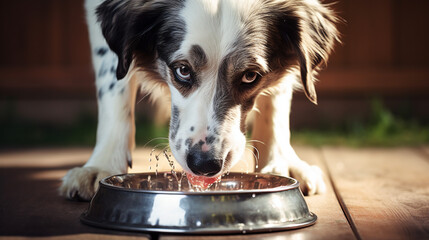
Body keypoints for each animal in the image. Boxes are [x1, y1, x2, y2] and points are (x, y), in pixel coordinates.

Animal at [58, 0, 338, 200]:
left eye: (250, 76)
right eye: (182, 70)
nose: (205, 164)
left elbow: (278, 98)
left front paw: (280, 161)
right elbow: (114, 81)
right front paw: (102, 164)